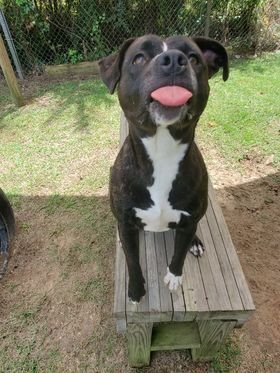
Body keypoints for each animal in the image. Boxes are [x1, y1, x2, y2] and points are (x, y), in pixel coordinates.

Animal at [98, 35, 228, 302]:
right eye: (139, 58)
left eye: (194, 58)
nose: (174, 60)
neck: (162, 152)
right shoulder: (126, 223)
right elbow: (133, 261)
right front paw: (136, 290)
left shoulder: (188, 221)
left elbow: (178, 254)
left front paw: (174, 277)